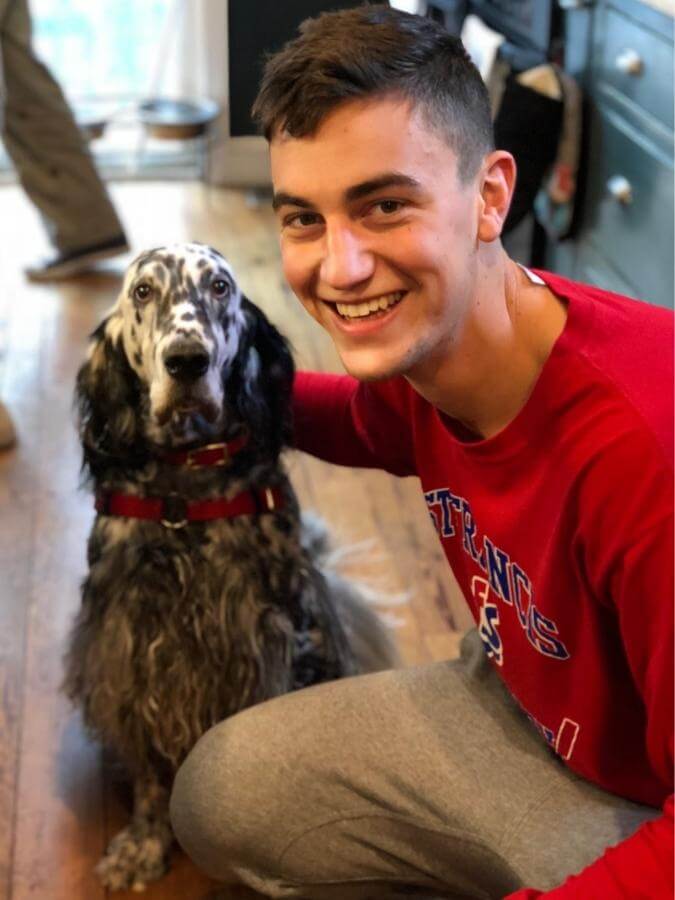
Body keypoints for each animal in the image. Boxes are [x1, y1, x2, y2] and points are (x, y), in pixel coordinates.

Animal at [63, 241, 396, 892]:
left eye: (219, 287)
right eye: (143, 291)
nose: (186, 361)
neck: (186, 492)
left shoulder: (286, 638)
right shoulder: (128, 648)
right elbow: (148, 769)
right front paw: (143, 845)